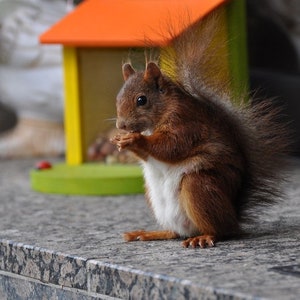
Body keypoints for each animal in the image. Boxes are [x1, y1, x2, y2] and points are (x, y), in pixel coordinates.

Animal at [110, 12, 290, 247]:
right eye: (118, 98)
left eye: (142, 100)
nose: (121, 125)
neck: (163, 110)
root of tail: (233, 216)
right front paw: (120, 139)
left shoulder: (187, 124)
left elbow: (171, 146)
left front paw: (135, 140)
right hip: (155, 198)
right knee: (176, 232)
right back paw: (150, 233)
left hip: (198, 187)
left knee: (220, 231)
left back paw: (205, 237)